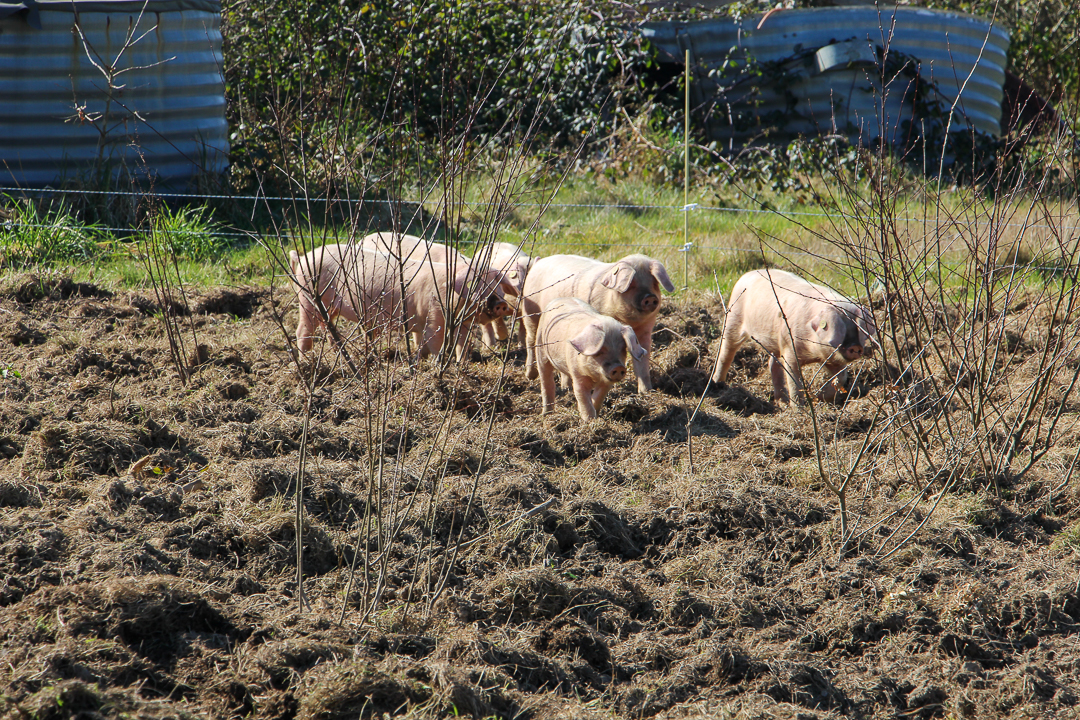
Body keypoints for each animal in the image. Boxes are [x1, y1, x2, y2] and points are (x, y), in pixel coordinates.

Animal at [518, 252, 669, 390]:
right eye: (631, 284)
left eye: (654, 283)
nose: (650, 297)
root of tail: (539, 261)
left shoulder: (645, 331)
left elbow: (642, 361)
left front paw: (646, 392)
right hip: (530, 312)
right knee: (530, 340)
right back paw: (530, 375)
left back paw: (565, 387)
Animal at [708, 268, 876, 405]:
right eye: (841, 328)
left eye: (857, 328)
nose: (856, 346)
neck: (813, 354)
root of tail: (747, 274)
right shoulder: (790, 347)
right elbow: (794, 382)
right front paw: (800, 409)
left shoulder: (832, 358)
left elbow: (840, 378)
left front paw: (818, 398)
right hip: (733, 319)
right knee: (726, 353)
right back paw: (718, 383)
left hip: (775, 341)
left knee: (773, 364)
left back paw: (781, 402)